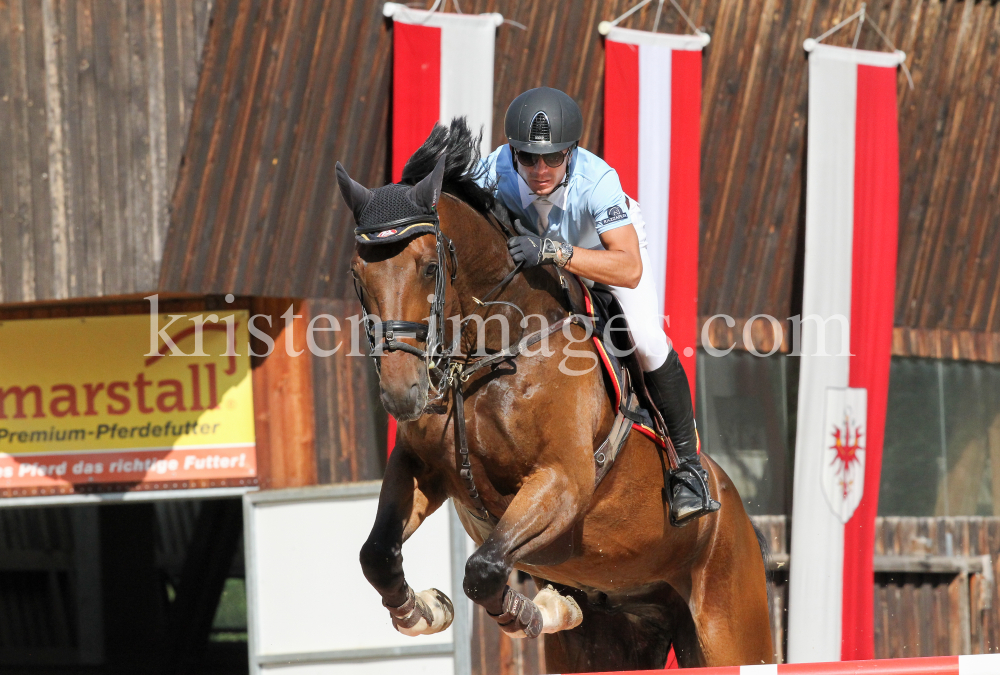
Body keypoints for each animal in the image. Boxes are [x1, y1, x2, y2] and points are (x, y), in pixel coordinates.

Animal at [336, 121, 772, 672]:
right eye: (357, 276)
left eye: (428, 270)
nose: (402, 394)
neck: (493, 354)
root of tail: (739, 516)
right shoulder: (422, 468)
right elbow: (377, 554)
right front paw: (424, 611)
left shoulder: (562, 481)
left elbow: (484, 568)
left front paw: (532, 610)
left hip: (730, 628)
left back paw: (688, 491)